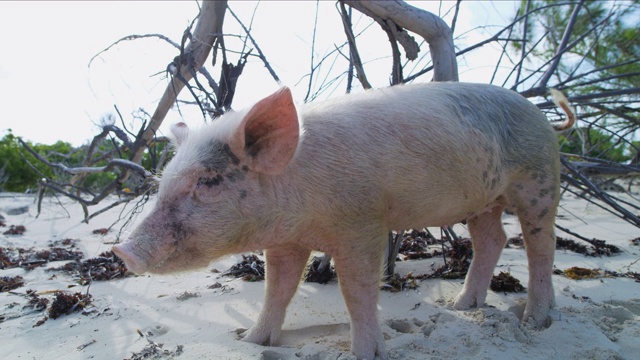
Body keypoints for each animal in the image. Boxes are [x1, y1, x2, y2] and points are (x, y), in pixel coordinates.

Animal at [112, 82, 576, 360]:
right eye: (164, 183)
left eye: (207, 181)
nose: (122, 250)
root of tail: (545, 117)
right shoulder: (287, 240)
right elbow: (276, 291)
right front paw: (250, 341)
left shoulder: (363, 224)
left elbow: (356, 291)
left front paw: (366, 353)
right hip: (483, 202)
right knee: (492, 240)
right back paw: (462, 307)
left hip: (539, 181)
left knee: (541, 245)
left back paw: (534, 321)